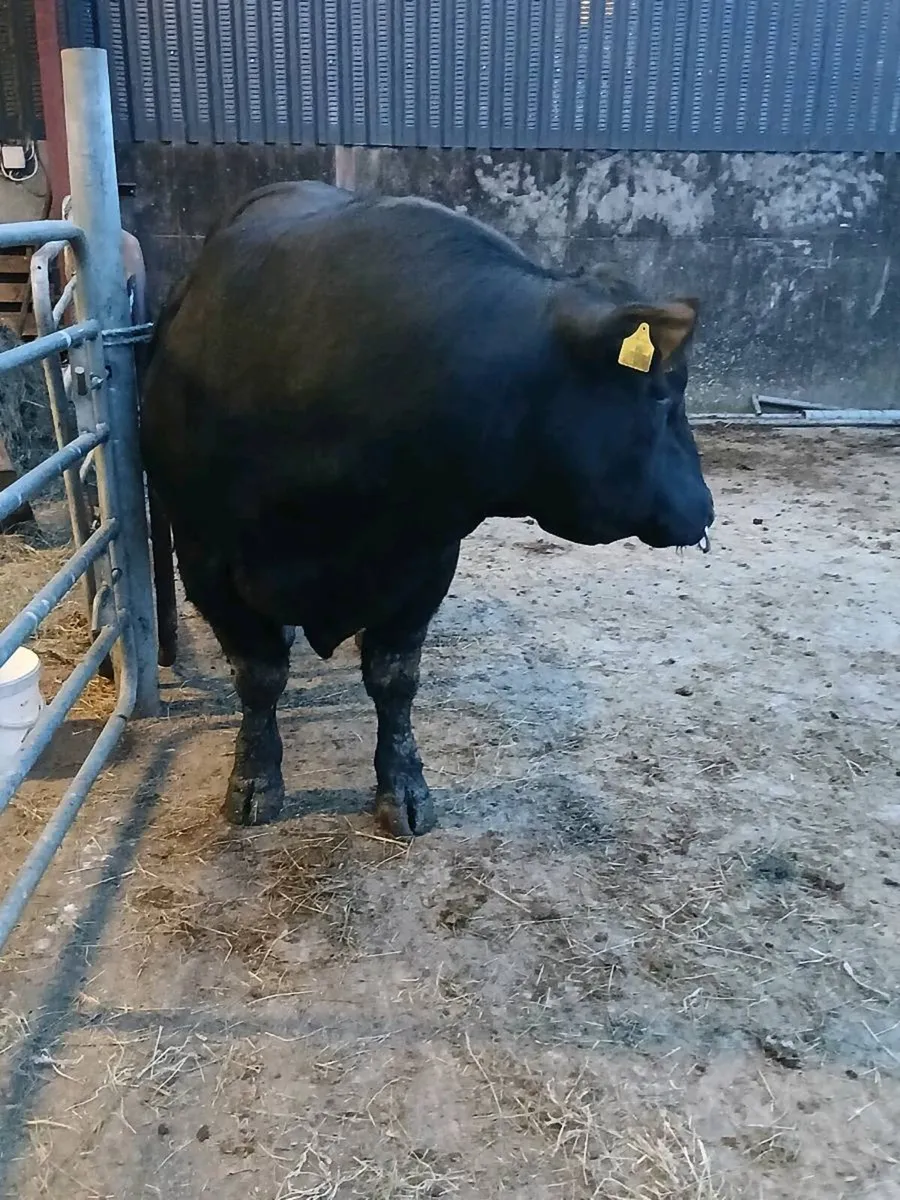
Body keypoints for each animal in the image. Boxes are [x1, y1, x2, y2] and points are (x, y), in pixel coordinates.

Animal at [141, 181, 714, 839]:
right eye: (664, 392)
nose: (705, 506)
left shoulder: (427, 559)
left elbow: (394, 679)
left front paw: (404, 787)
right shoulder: (204, 557)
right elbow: (259, 677)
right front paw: (255, 780)